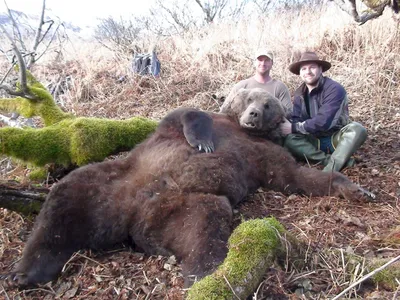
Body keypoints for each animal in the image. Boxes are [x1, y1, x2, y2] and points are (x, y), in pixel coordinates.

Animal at [0, 87, 372, 288]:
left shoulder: (265, 156)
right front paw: (203, 141)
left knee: (203, 232)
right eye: (248, 98)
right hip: (110, 179)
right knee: (61, 203)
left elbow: (294, 176)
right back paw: (23, 271)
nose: (253, 114)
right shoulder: (185, 126)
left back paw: (207, 275)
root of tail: (134, 217)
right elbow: (185, 113)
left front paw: (359, 190)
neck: (242, 131)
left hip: (190, 205)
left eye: (267, 105)